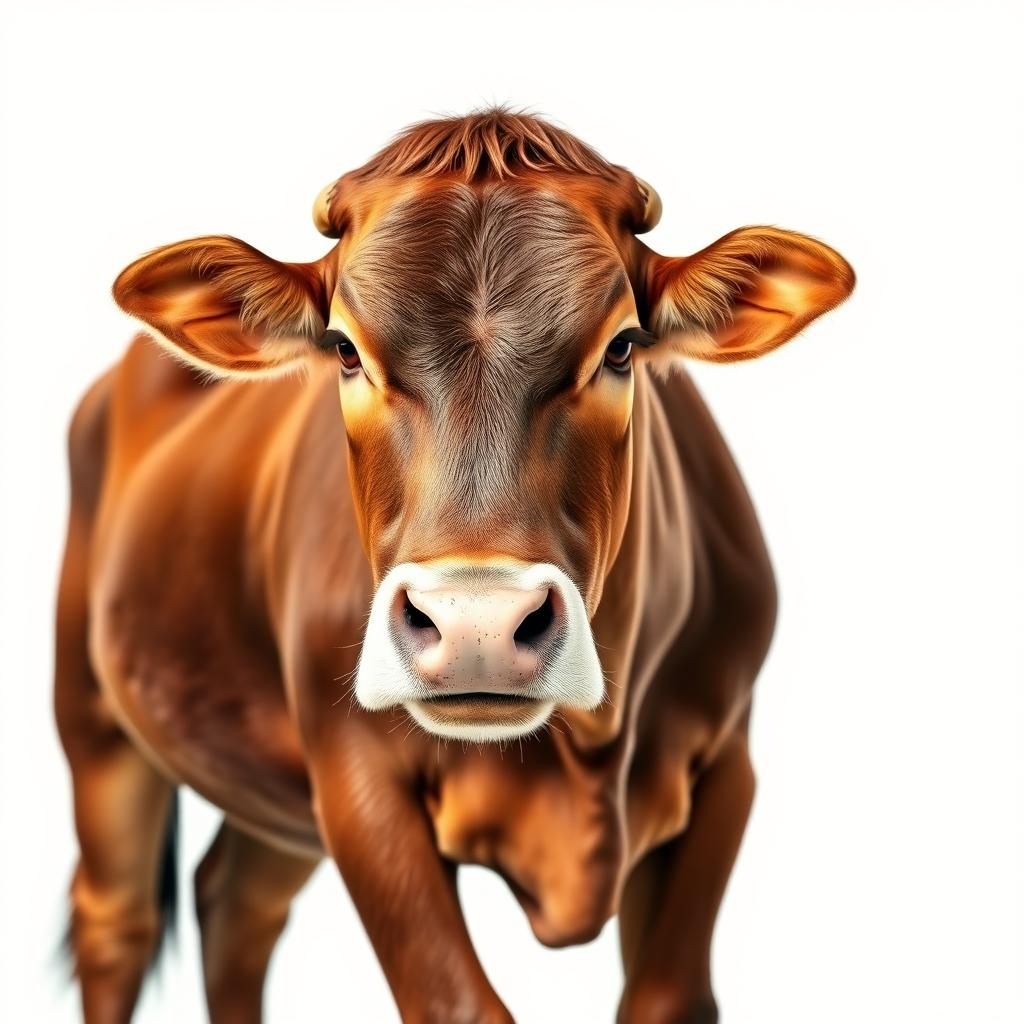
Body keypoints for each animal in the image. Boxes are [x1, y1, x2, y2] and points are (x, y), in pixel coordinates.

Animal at [58, 108, 856, 1019]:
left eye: (623, 347)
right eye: (343, 349)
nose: (478, 626)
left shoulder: (728, 766)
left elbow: (668, 996)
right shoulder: (355, 774)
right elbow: (458, 1001)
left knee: (236, 904)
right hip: (93, 716)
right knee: (117, 919)